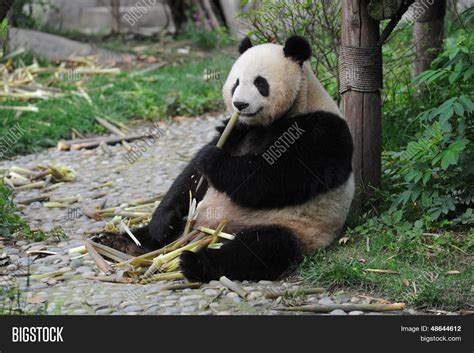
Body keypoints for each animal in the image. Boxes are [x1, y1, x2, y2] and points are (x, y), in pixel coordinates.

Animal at [98, 35, 354, 280]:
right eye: (236, 83)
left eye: (260, 83)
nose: (240, 104)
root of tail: (205, 230)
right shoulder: (237, 129)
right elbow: (190, 180)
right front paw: (163, 219)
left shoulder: (322, 131)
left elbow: (274, 178)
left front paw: (211, 159)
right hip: (194, 222)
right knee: (160, 233)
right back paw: (118, 241)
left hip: (293, 227)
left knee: (259, 248)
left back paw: (195, 262)